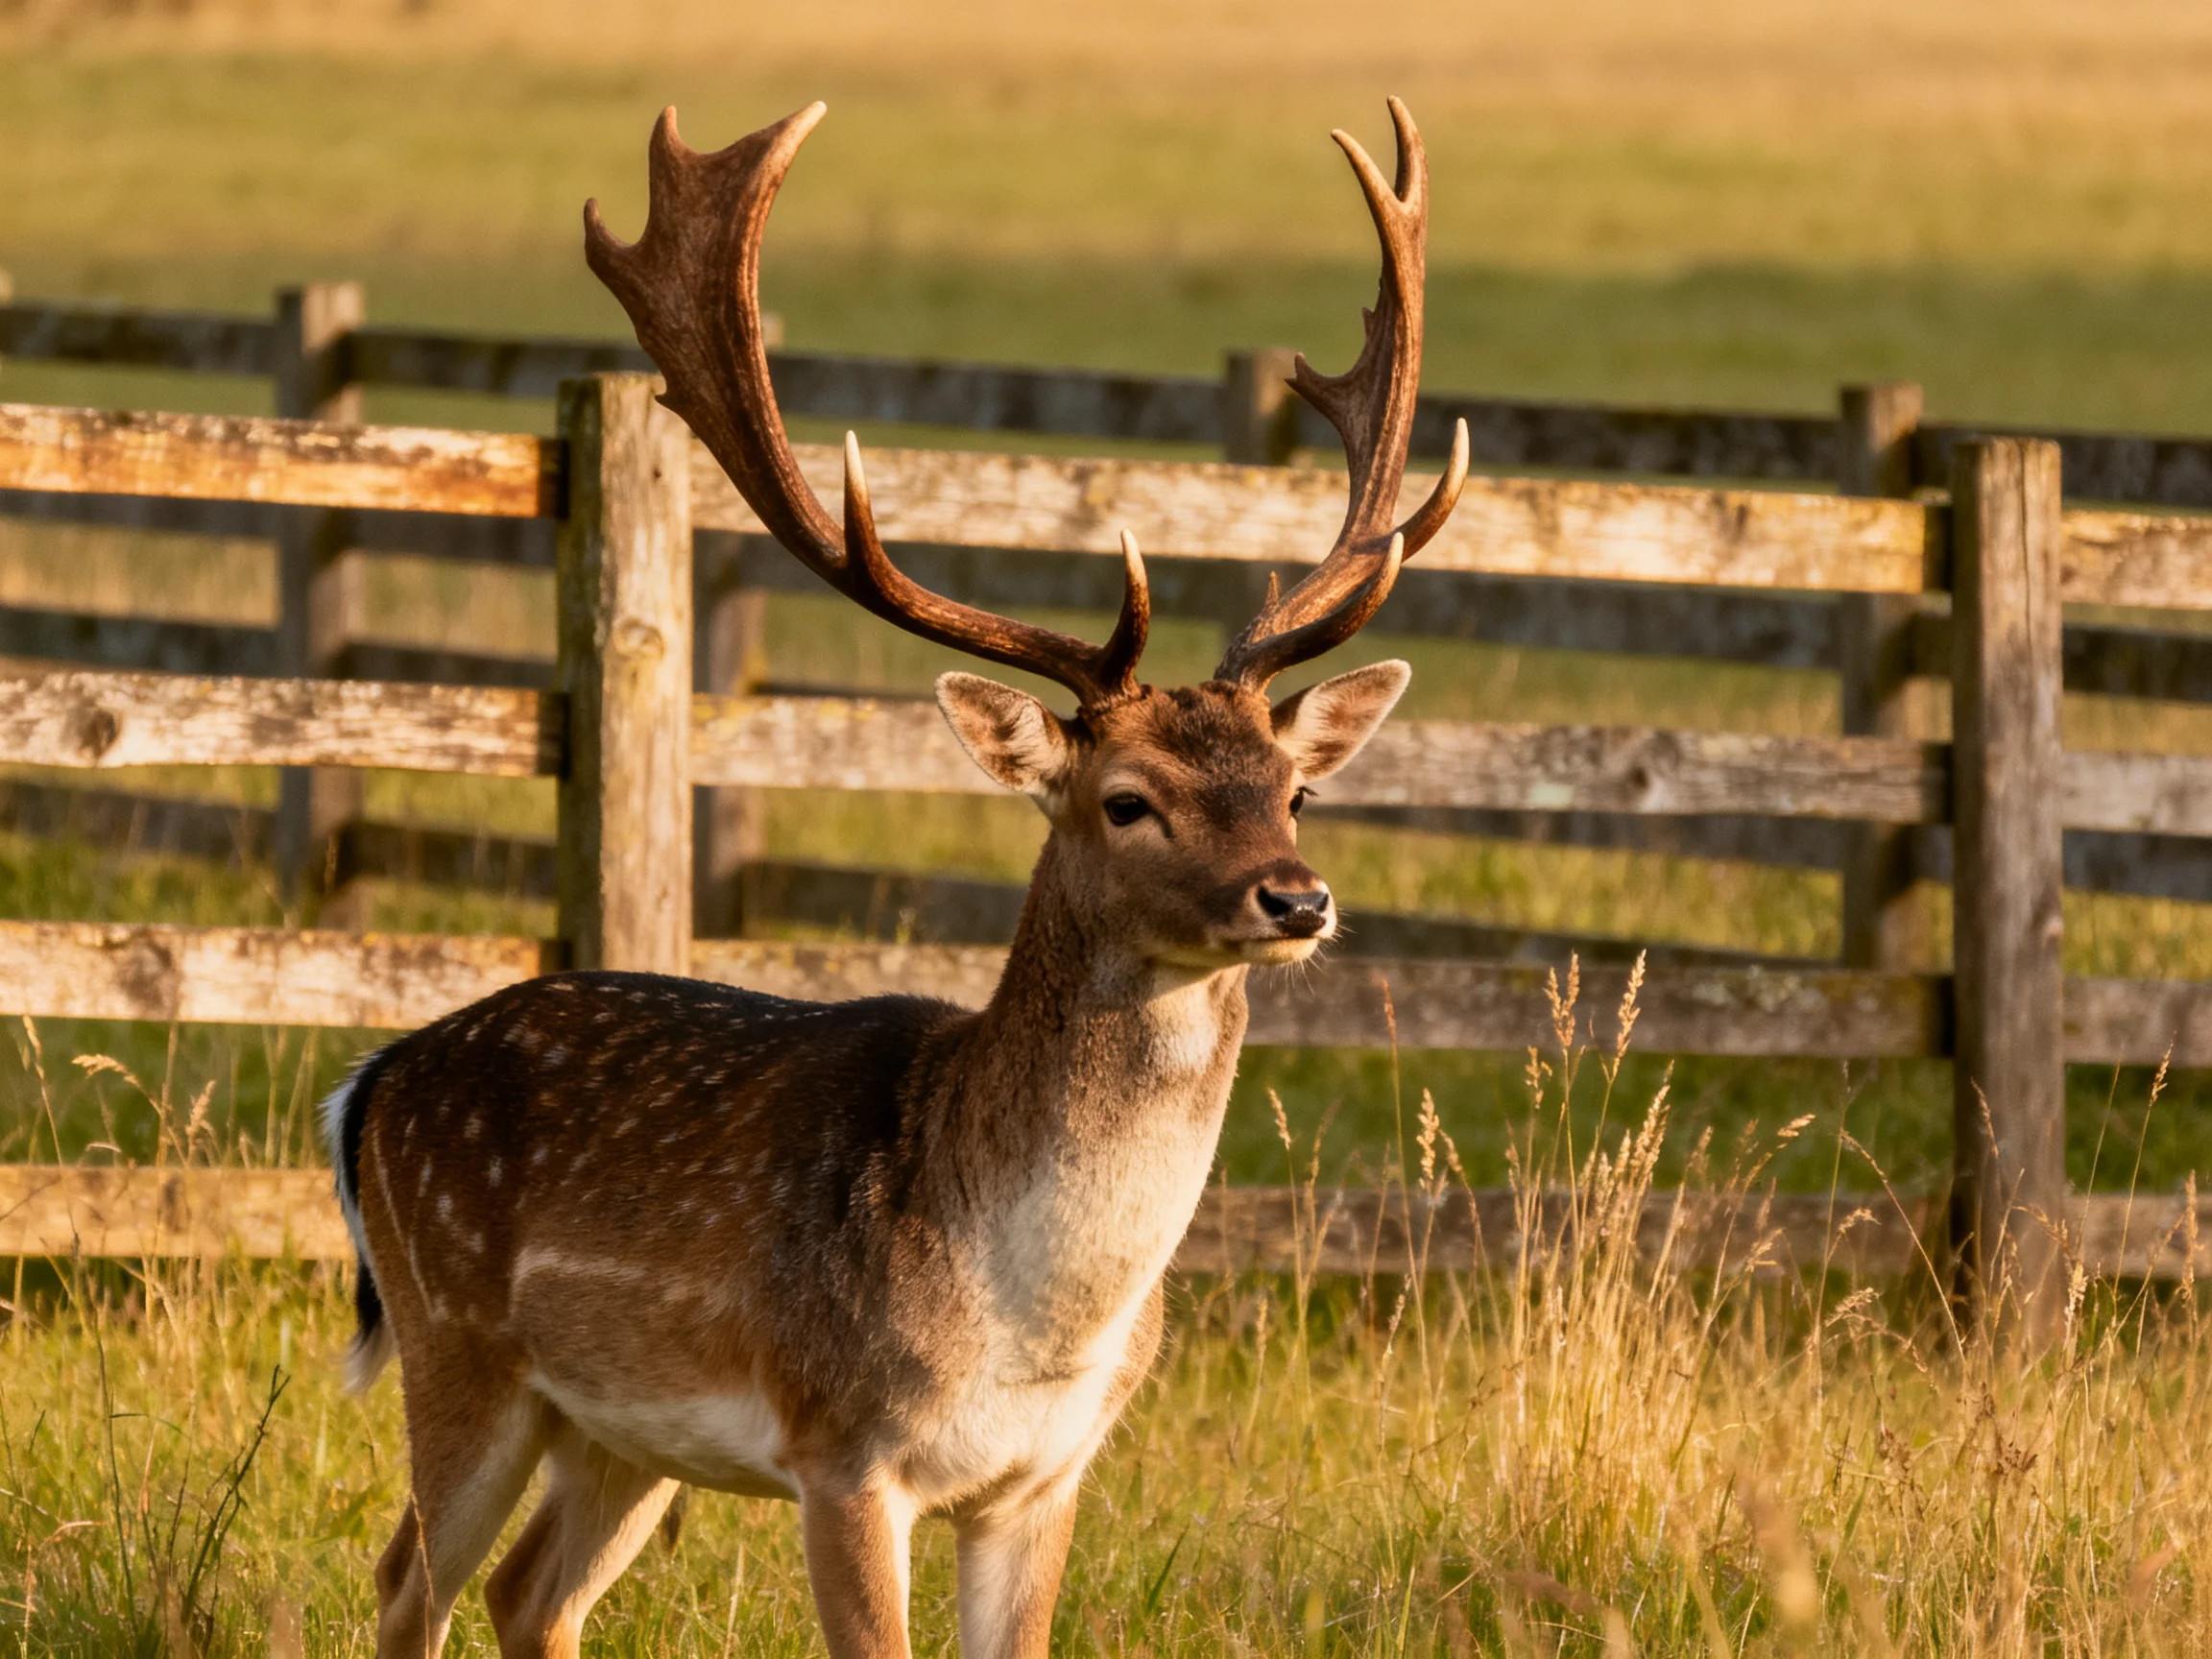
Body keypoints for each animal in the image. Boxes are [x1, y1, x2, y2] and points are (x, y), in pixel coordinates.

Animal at [324, 95, 1467, 1659]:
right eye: (1127, 801)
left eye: (1294, 788)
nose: (1296, 899)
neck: (1037, 1327)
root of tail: (369, 1081)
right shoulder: (845, 1448)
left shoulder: (1046, 1478)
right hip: (456, 1336)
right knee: (404, 1584)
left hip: (618, 1425)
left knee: (524, 1592)